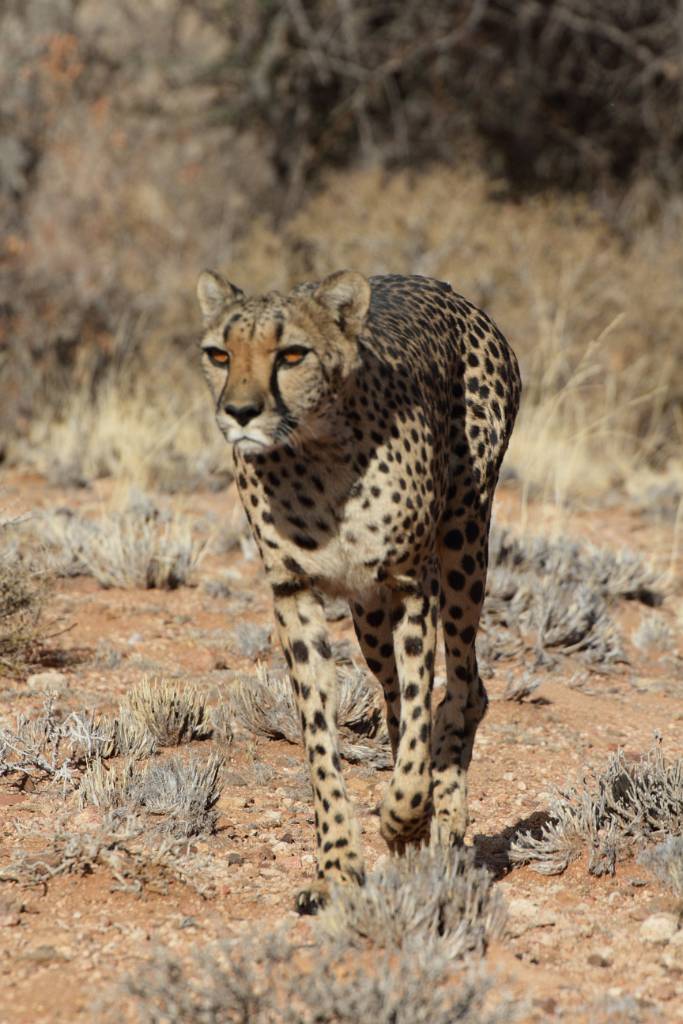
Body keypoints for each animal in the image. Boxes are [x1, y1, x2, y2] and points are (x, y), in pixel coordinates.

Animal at [194, 270, 520, 913]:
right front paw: (337, 867)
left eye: (291, 354)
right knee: (395, 700)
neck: (315, 451)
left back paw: (444, 823)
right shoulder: (294, 594)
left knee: (465, 691)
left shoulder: (412, 582)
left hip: (463, 541)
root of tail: (440, 286)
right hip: (368, 614)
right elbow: (322, 740)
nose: (240, 412)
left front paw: (403, 816)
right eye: (219, 354)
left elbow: (420, 718)